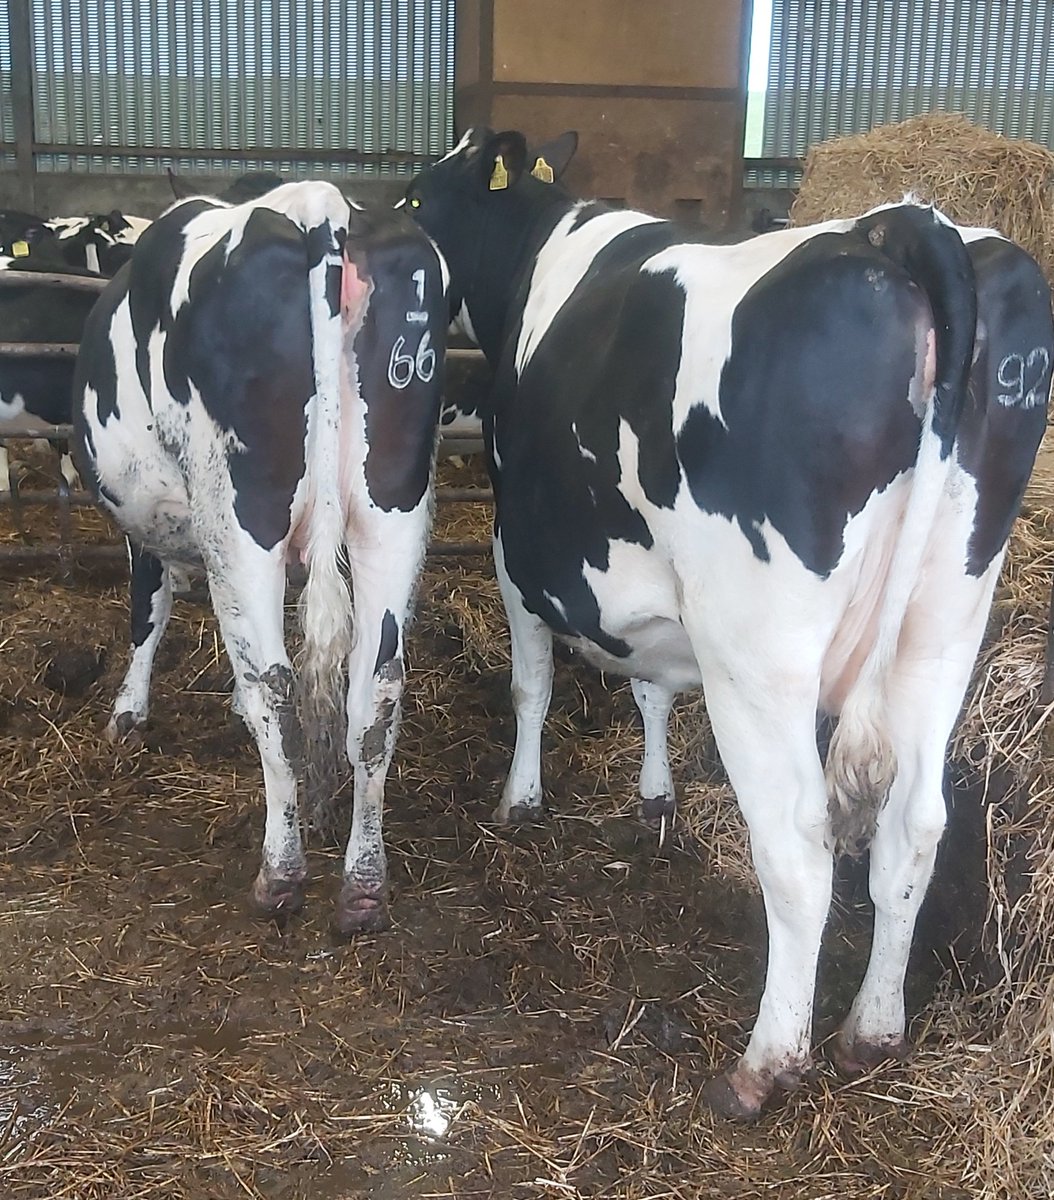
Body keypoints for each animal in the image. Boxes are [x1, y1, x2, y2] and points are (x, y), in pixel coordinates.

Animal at [72, 182, 448, 933]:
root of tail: (321, 207)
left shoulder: (148, 526)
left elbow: (146, 609)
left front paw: (127, 713)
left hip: (240, 517)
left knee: (274, 689)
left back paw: (281, 876)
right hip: (392, 510)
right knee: (376, 693)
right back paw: (363, 887)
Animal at [404, 128, 1052, 1117]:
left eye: (414, 196)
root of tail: (909, 227)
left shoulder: (520, 545)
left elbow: (531, 683)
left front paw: (520, 799)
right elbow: (651, 688)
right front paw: (655, 796)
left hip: (761, 653)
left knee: (799, 850)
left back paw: (766, 1064)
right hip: (945, 623)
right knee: (915, 826)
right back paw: (873, 1031)